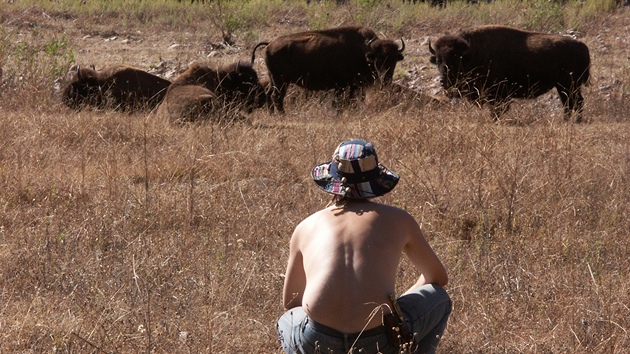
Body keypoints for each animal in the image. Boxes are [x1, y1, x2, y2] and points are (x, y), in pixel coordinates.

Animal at [254, 25, 408, 112]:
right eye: (378, 59)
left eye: (394, 60)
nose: (385, 79)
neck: (363, 52)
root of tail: (269, 44)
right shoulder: (342, 86)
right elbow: (341, 103)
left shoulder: (355, 86)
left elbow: (353, 101)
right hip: (281, 81)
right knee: (277, 97)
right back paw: (283, 116)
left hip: (274, 80)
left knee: (270, 96)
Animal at [430, 24, 592, 121]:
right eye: (438, 60)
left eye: (457, 59)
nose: (443, 81)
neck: (472, 54)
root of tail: (583, 46)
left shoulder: (497, 93)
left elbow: (498, 108)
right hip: (562, 86)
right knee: (569, 103)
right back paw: (566, 120)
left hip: (569, 85)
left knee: (576, 102)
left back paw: (575, 121)